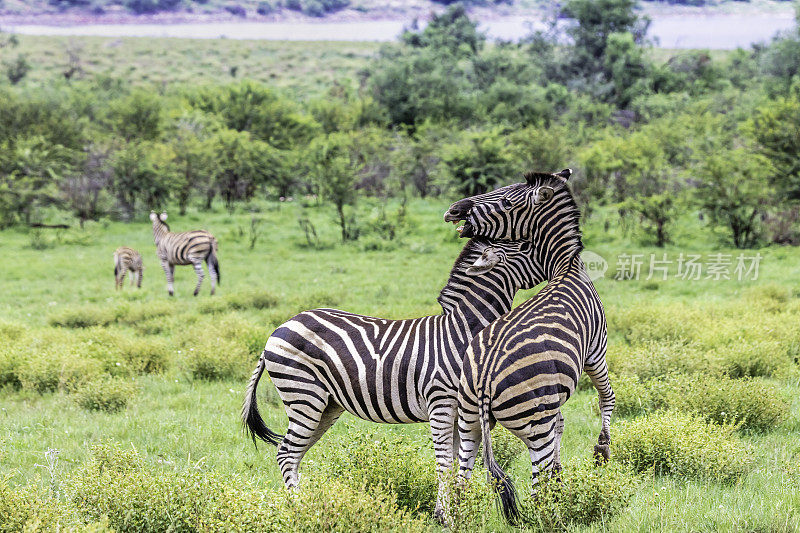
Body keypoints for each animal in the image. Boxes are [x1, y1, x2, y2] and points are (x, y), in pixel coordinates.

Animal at [242, 237, 544, 520]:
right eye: (526, 246)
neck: (461, 333)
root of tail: (280, 327)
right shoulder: (441, 402)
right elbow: (445, 462)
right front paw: (445, 516)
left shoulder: (465, 410)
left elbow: (460, 462)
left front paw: (452, 513)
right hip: (304, 395)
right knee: (286, 453)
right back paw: (300, 511)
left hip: (326, 405)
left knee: (295, 454)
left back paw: (305, 507)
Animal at [444, 170, 612, 520]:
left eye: (507, 200)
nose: (454, 210)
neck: (567, 268)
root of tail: (484, 378)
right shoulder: (596, 350)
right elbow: (607, 396)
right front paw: (602, 448)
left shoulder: (554, 394)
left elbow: (562, 423)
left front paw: (562, 478)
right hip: (534, 428)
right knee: (536, 488)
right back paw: (551, 517)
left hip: (468, 423)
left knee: (461, 486)